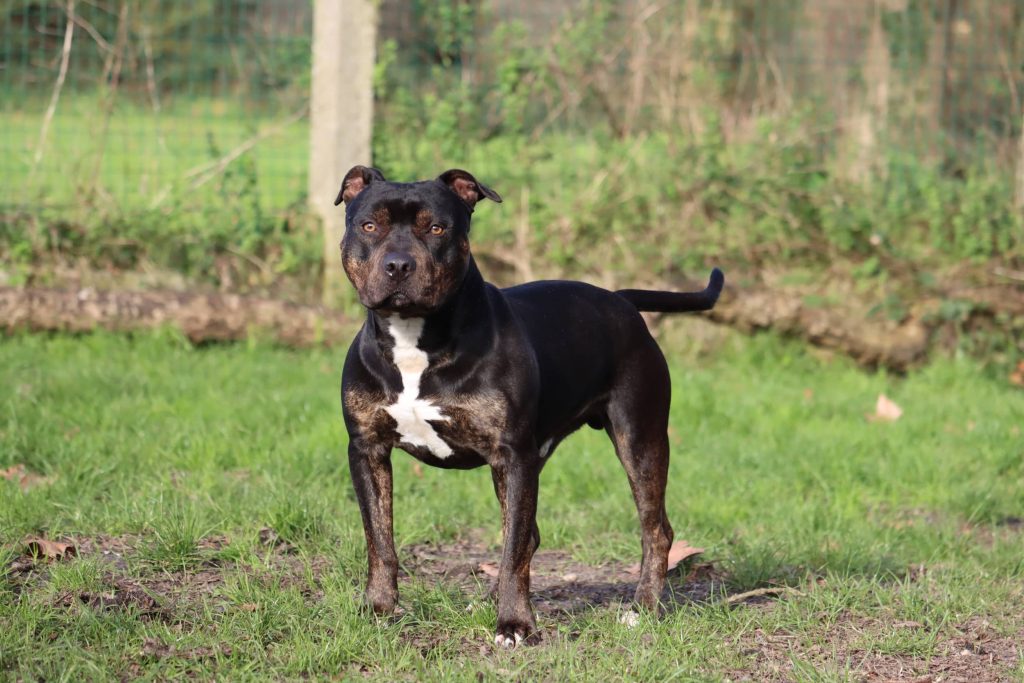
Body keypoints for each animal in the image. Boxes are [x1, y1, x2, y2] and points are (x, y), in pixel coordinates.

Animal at [335, 165, 724, 647]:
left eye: (437, 228)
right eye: (369, 226)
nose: (398, 265)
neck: (415, 338)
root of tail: (620, 299)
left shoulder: (512, 455)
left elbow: (514, 549)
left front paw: (516, 625)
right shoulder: (367, 449)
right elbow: (379, 539)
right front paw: (379, 609)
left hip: (640, 438)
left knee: (654, 529)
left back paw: (643, 608)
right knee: (527, 535)